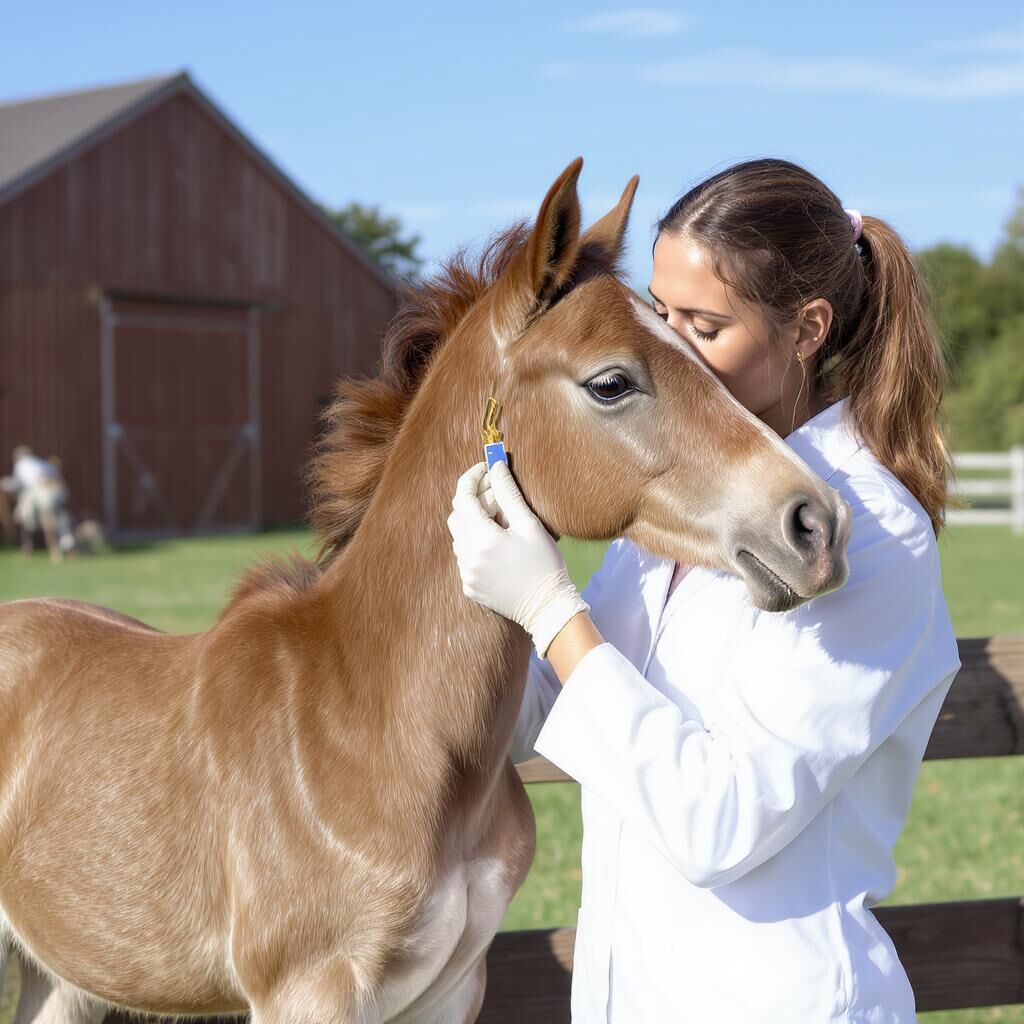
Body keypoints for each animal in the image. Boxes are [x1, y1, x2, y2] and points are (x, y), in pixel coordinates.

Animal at [0, 157, 850, 1024]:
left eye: (703, 349)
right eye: (612, 382)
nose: (815, 522)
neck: (368, 717)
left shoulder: (450, 991)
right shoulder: (305, 995)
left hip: (58, 979)